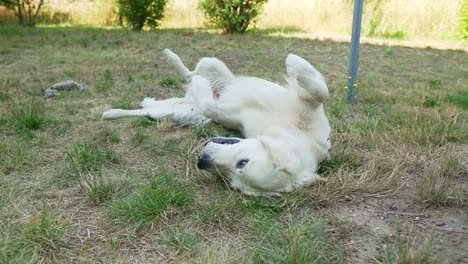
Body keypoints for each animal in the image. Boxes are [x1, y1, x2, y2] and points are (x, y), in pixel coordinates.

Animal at [103, 49, 330, 196]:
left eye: (233, 181)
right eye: (243, 162)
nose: (201, 160)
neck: (286, 129)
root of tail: (186, 100)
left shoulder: (216, 112)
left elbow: (208, 105)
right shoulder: (309, 107)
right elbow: (320, 91)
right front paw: (296, 64)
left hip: (182, 114)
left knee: (150, 111)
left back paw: (111, 113)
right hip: (215, 66)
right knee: (194, 70)